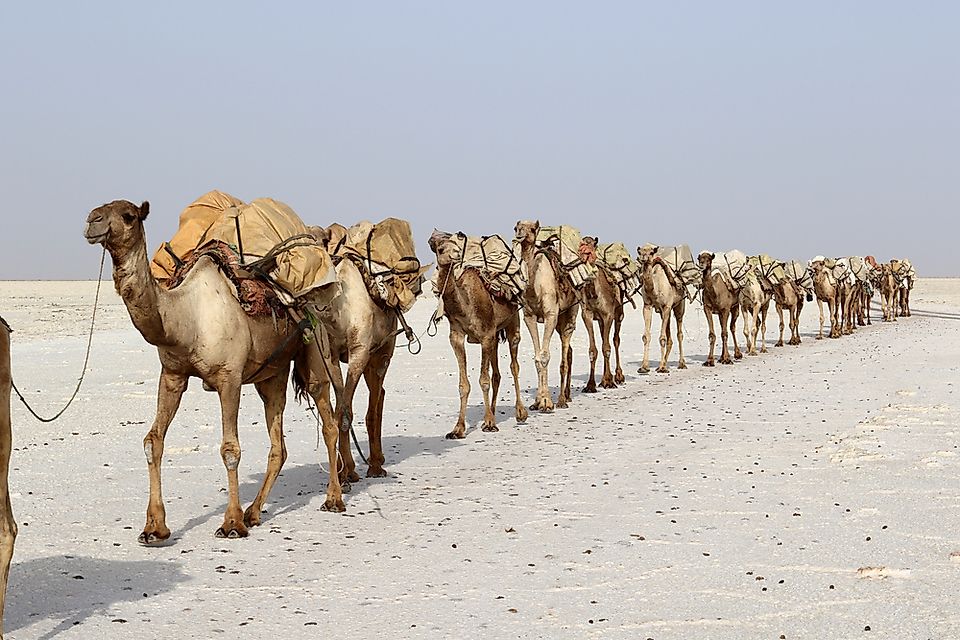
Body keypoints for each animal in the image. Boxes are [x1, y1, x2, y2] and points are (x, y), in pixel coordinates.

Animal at [83, 200, 344, 540]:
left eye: (128, 215)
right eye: (99, 209)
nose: (93, 221)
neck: (186, 318)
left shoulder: (228, 377)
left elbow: (230, 449)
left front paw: (231, 523)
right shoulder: (172, 375)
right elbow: (153, 440)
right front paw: (154, 527)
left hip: (314, 352)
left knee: (328, 422)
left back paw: (333, 499)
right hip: (270, 375)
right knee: (279, 444)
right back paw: (254, 512)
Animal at [430, 232, 528, 438]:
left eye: (456, 246)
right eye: (441, 249)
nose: (456, 255)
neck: (464, 305)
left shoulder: (485, 336)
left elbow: (483, 380)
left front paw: (490, 423)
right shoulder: (457, 337)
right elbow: (463, 384)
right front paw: (458, 428)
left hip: (512, 322)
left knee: (514, 365)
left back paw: (520, 412)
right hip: (495, 335)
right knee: (497, 374)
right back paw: (491, 412)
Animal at [512, 220, 580, 410]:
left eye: (532, 229)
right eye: (516, 227)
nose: (519, 234)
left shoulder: (550, 314)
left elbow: (544, 356)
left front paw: (546, 402)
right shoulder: (529, 316)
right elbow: (537, 357)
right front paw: (537, 402)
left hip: (571, 312)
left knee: (565, 354)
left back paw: (562, 400)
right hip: (560, 320)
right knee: (569, 352)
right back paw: (567, 396)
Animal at [580, 238, 628, 392]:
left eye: (591, 249)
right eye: (580, 247)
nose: (583, 254)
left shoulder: (608, 315)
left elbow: (606, 347)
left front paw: (608, 381)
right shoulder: (587, 315)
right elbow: (593, 350)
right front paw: (590, 385)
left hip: (619, 314)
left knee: (615, 340)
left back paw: (618, 376)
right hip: (601, 320)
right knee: (604, 338)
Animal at [632, 245, 688, 376]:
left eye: (651, 252)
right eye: (640, 251)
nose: (643, 258)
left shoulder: (667, 306)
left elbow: (662, 338)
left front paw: (663, 368)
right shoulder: (647, 306)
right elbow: (646, 336)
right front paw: (644, 367)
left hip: (679, 306)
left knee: (679, 333)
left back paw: (681, 364)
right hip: (664, 313)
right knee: (669, 336)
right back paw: (663, 364)